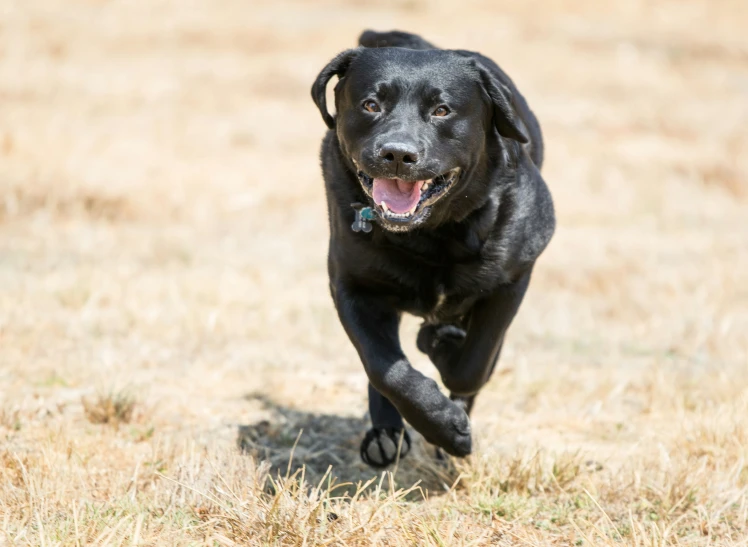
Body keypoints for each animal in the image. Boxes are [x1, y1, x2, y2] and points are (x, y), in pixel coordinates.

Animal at [310, 28, 556, 466]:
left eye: (442, 110)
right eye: (370, 105)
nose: (397, 153)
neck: (433, 233)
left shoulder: (513, 278)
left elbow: (473, 365)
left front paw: (443, 363)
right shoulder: (351, 285)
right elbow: (384, 365)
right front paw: (440, 424)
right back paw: (385, 435)